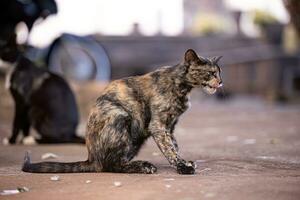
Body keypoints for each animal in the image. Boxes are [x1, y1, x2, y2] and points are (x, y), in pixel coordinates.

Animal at [22, 49, 221, 174]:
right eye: (211, 73)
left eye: (219, 72)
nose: (220, 82)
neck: (181, 85)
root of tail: (91, 158)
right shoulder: (158, 126)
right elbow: (169, 149)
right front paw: (182, 167)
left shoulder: (170, 127)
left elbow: (174, 145)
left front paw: (183, 162)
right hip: (120, 116)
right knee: (110, 166)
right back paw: (143, 166)